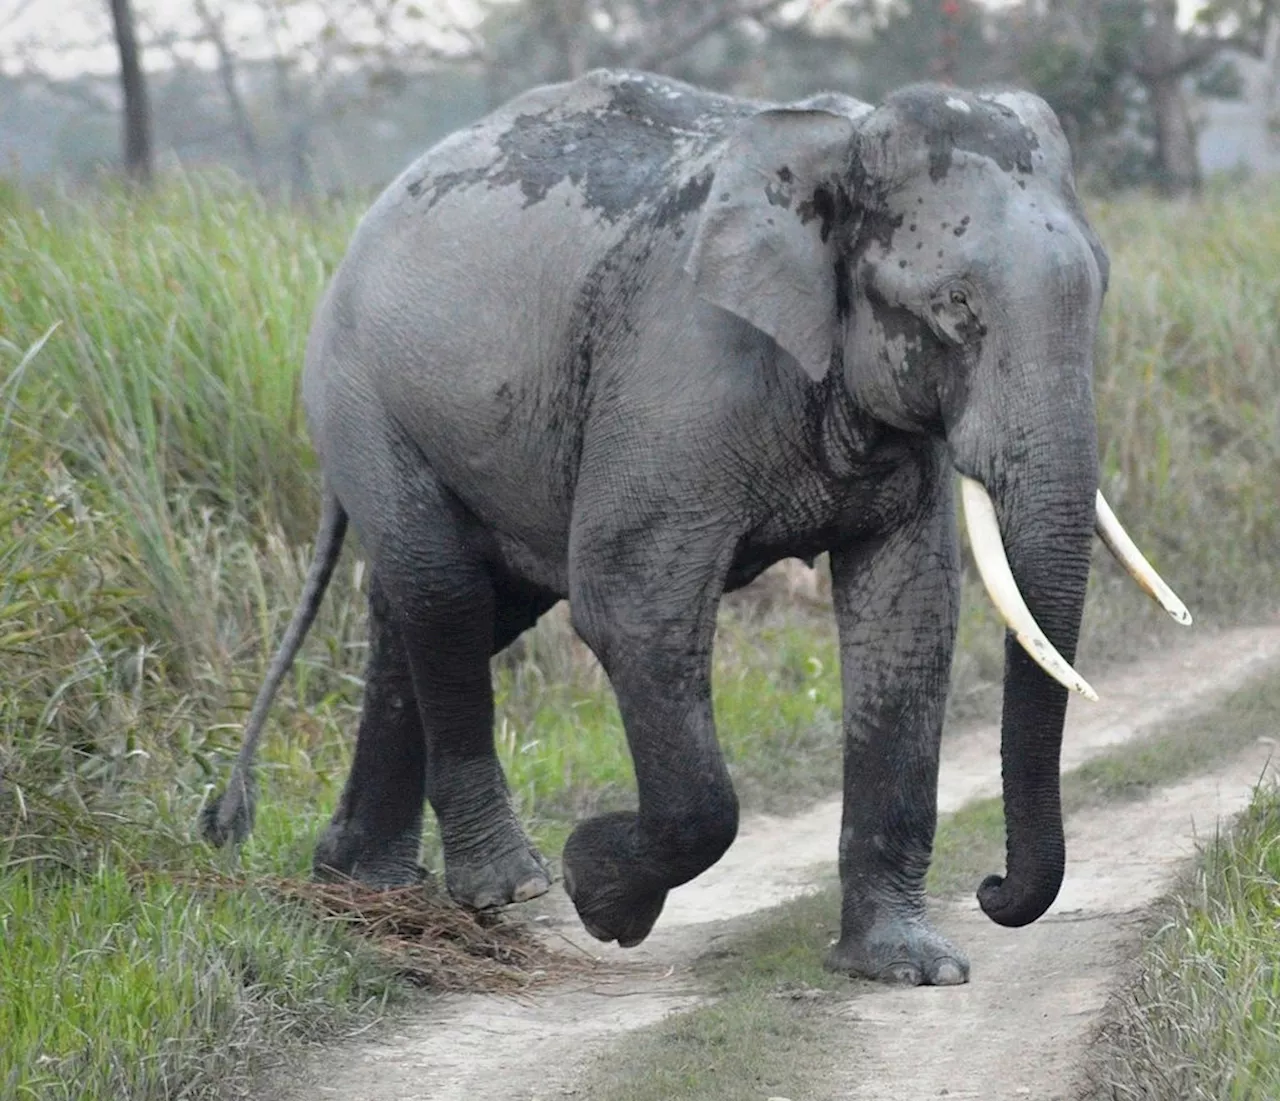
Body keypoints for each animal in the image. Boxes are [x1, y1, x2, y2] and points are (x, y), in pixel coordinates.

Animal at [202, 68, 1187, 983]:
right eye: (955, 311)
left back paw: (356, 882)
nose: (989, 889)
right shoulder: (678, 375)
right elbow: (631, 605)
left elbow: (907, 617)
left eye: (1101, 290)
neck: (839, 147)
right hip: (361, 395)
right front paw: (599, 893)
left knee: (441, 611)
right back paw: (507, 883)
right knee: (444, 597)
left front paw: (908, 967)